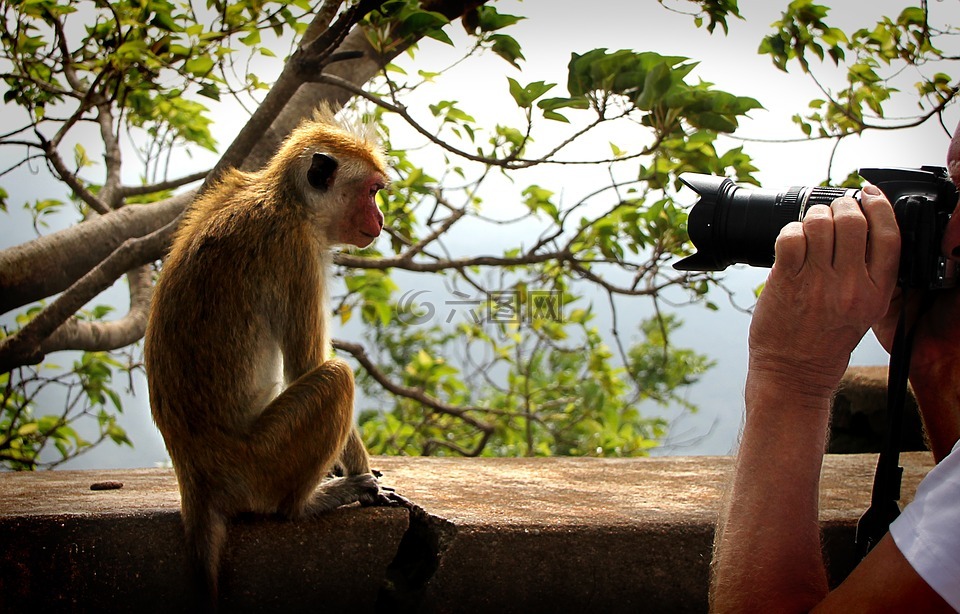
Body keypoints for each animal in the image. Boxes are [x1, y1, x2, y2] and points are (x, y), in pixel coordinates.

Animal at [142, 108, 386, 604]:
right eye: (371, 191)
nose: (382, 218)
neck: (290, 202)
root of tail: (196, 478)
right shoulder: (296, 253)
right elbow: (308, 364)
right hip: (260, 464)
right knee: (335, 378)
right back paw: (303, 505)